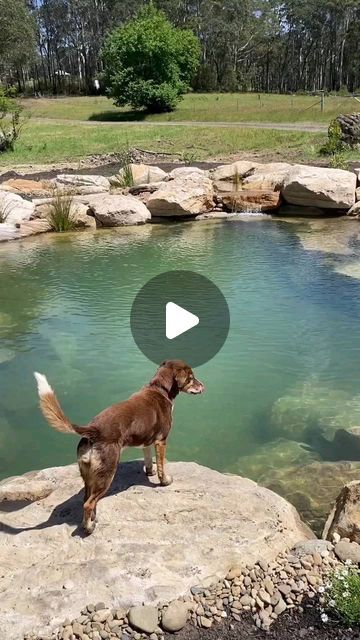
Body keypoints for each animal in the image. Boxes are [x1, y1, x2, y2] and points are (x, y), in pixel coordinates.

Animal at [34, 360, 204, 536]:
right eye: (191, 378)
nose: (203, 386)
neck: (159, 389)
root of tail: (93, 429)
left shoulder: (147, 442)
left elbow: (148, 459)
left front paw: (149, 472)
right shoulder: (161, 441)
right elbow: (162, 466)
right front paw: (165, 481)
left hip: (88, 474)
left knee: (86, 499)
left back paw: (91, 519)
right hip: (107, 472)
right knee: (88, 503)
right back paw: (88, 528)